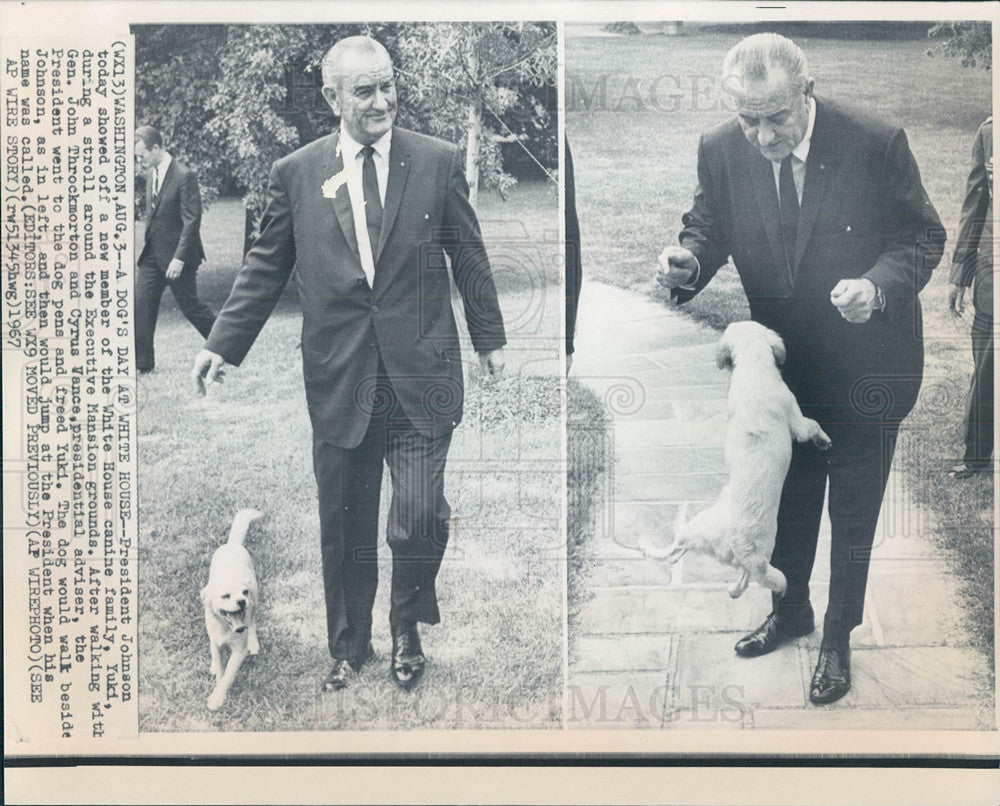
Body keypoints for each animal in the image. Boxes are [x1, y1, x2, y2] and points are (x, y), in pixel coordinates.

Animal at [198, 512, 260, 712]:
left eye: (244, 592)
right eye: (226, 596)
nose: (241, 601)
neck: (226, 627)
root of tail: (232, 544)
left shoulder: (239, 650)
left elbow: (228, 674)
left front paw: (217, 697)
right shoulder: (216, 644)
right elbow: (220, 669)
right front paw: (217, 677)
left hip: (255, 600)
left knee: (252, 621)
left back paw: (254, 642)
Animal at [644, 322, 832, 600]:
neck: (753, 366)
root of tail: (742, 547)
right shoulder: (797, 421)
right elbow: (813, 425)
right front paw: (823, 440)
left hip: (706, 534)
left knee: (684, 553)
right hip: (704, 526)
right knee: (677, 548)